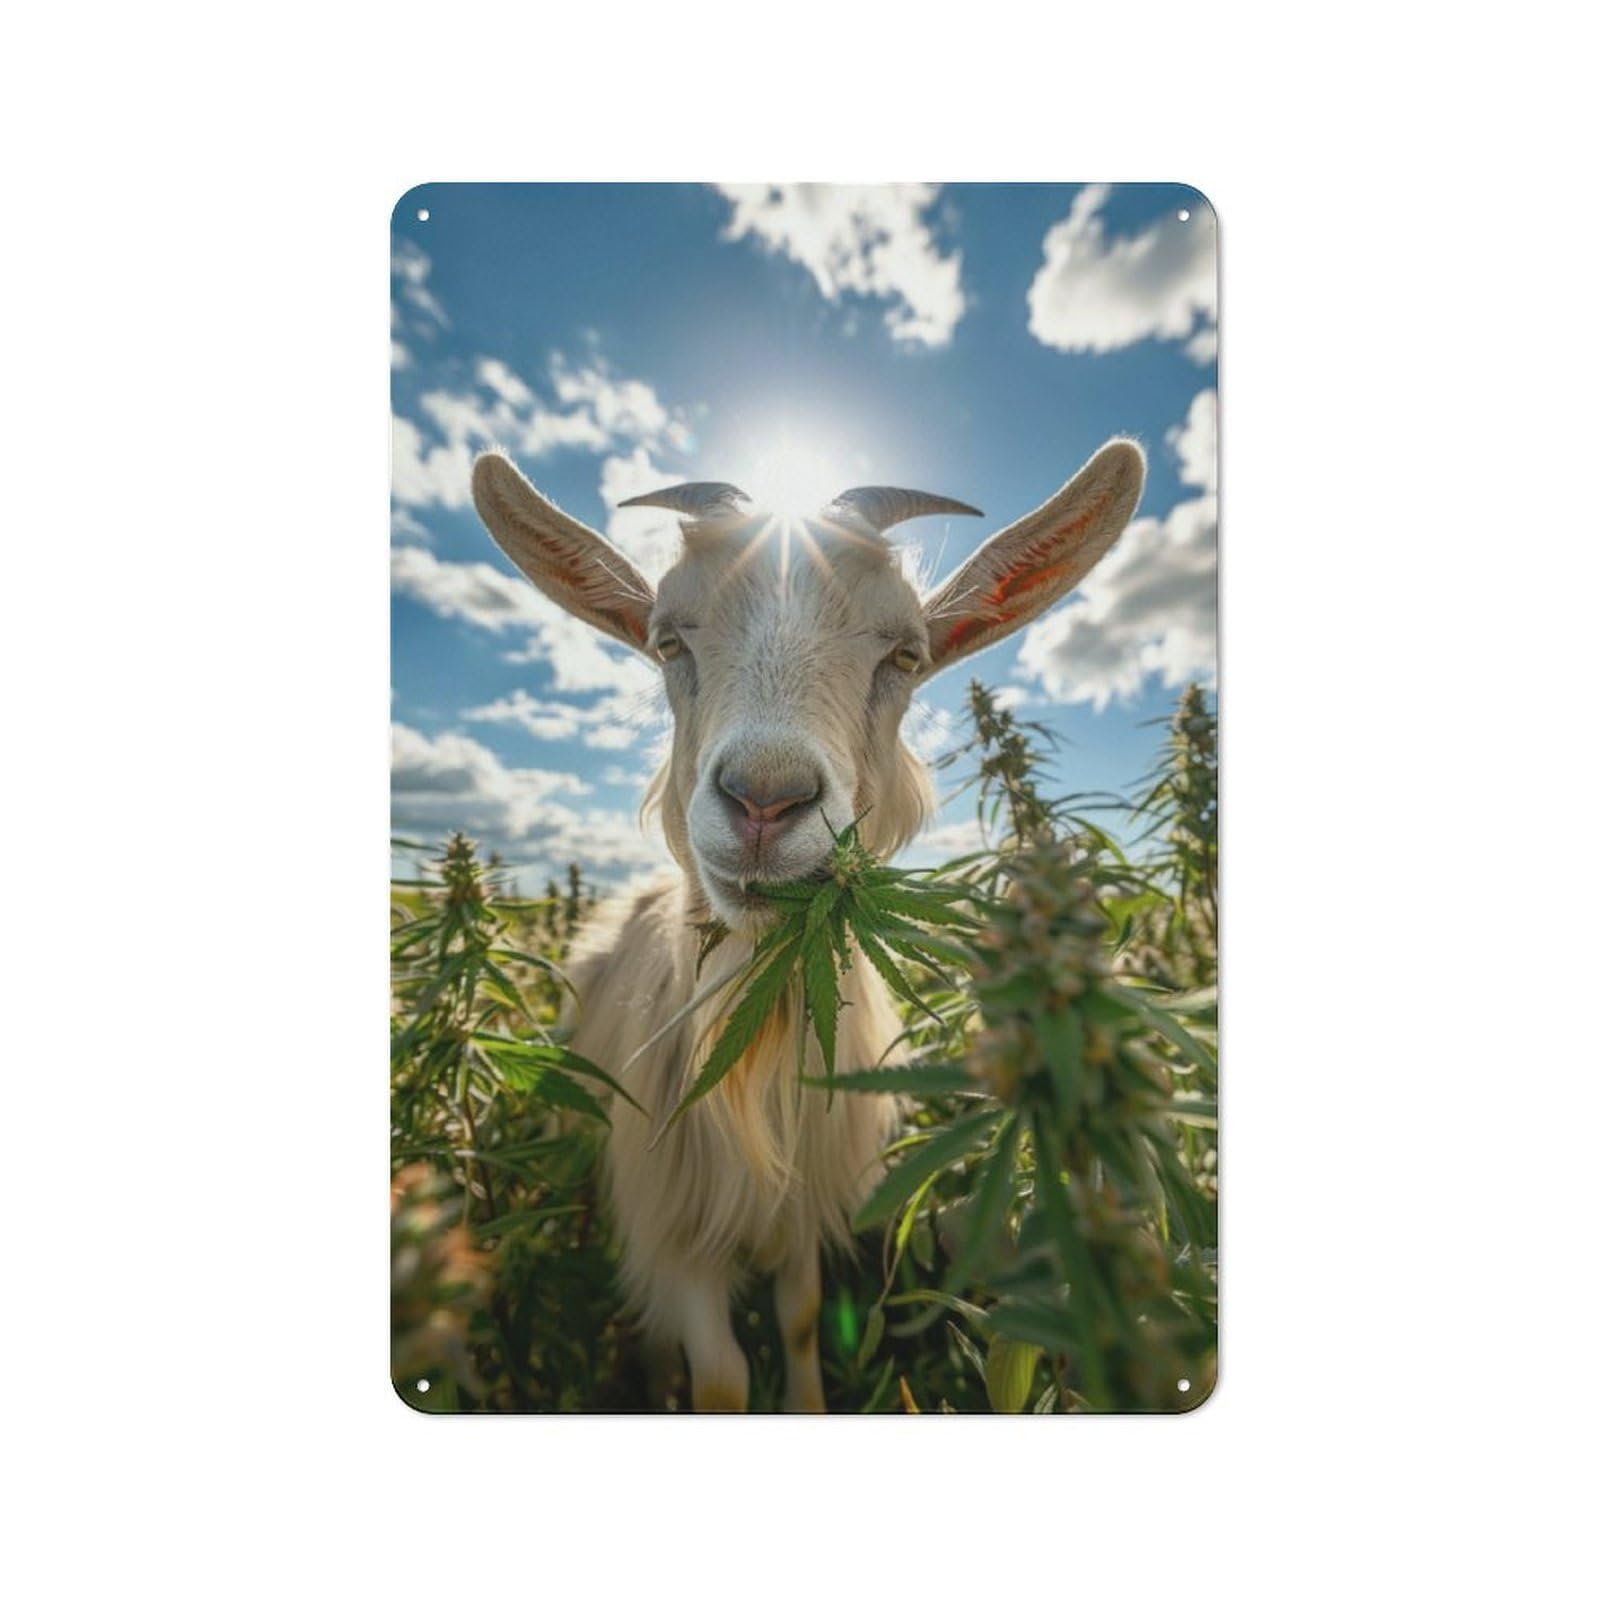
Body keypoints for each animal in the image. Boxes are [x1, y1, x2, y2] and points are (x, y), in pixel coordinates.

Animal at [471, 438, 1145, 1411]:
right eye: (667, 640)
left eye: (905, 654)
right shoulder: (677, 1233)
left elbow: (797, 1319)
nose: (764, 799)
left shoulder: (801, 1213)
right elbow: (720, 1377)